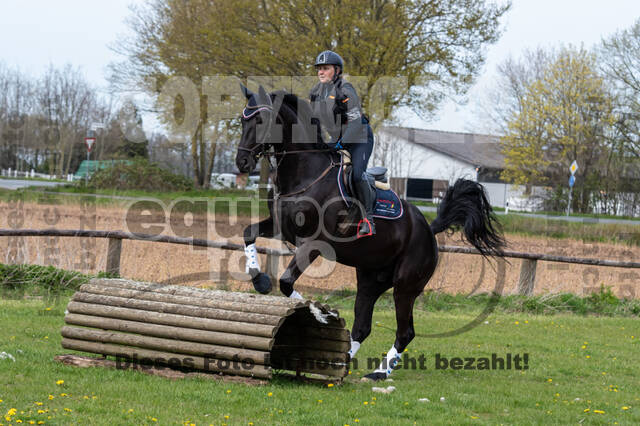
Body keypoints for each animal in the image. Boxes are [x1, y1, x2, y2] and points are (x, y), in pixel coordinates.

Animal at [235, 85, 504, 382]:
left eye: (261, 120)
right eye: (242, 120)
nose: (242, 161)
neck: (305, 175)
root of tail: (428, 229)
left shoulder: (315, 243)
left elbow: (285, 282)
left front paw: (319, 314)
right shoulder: (280, 227)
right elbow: (248, 233)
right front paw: (260, 280)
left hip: (406, 285)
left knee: (405, 331)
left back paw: (379, 372)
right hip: (370, 280)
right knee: (362, 326)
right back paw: (343, 362)